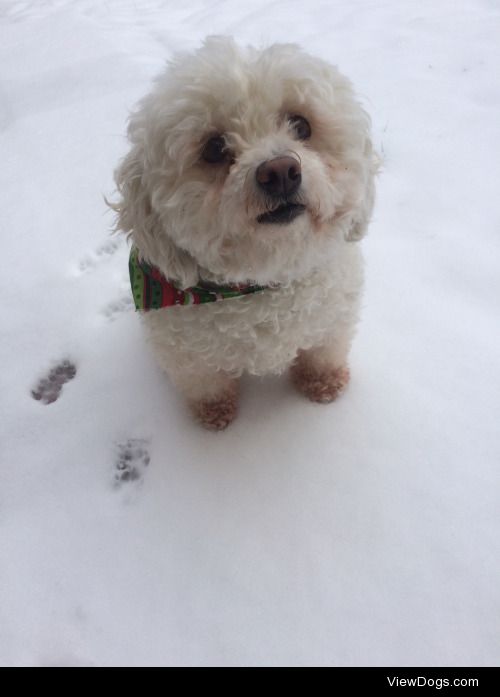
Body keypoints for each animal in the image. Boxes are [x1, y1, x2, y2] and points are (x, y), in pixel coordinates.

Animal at [112, 39, 378, 430]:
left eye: (301, 124)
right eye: (213, 148)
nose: (280, 172)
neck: (262, 283)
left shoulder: (332, 319)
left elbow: (323, 352)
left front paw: (324, 383)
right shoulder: (187, 354)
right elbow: (205, 384)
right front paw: (214, 412)